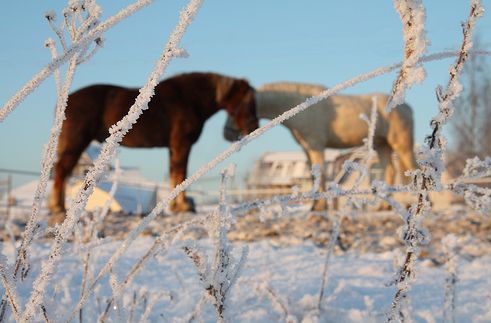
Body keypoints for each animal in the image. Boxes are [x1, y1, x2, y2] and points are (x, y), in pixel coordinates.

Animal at [48, 72, 260, 224]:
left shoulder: (173, 147)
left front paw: (175, 206)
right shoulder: (182, 144)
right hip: (76, 143)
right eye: (248, 101)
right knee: (61, 171)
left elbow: (175, 174)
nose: (254, 126)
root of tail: (66, 100)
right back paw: (57, 208)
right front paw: (183, 206)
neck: (189, 98)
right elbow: (181, 173)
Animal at [225, 82, 418, 211]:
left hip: (401, 145)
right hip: (382, 145)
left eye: (235, 110)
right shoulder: (307, 148)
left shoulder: (316, 145)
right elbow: (313, 175)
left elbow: (321, 173)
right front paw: (315, 206)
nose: (227, 133)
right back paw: (384, 206)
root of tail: (407, 108)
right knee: (390, 171)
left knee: (413, 168)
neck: (302, 106)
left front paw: (319, 207)